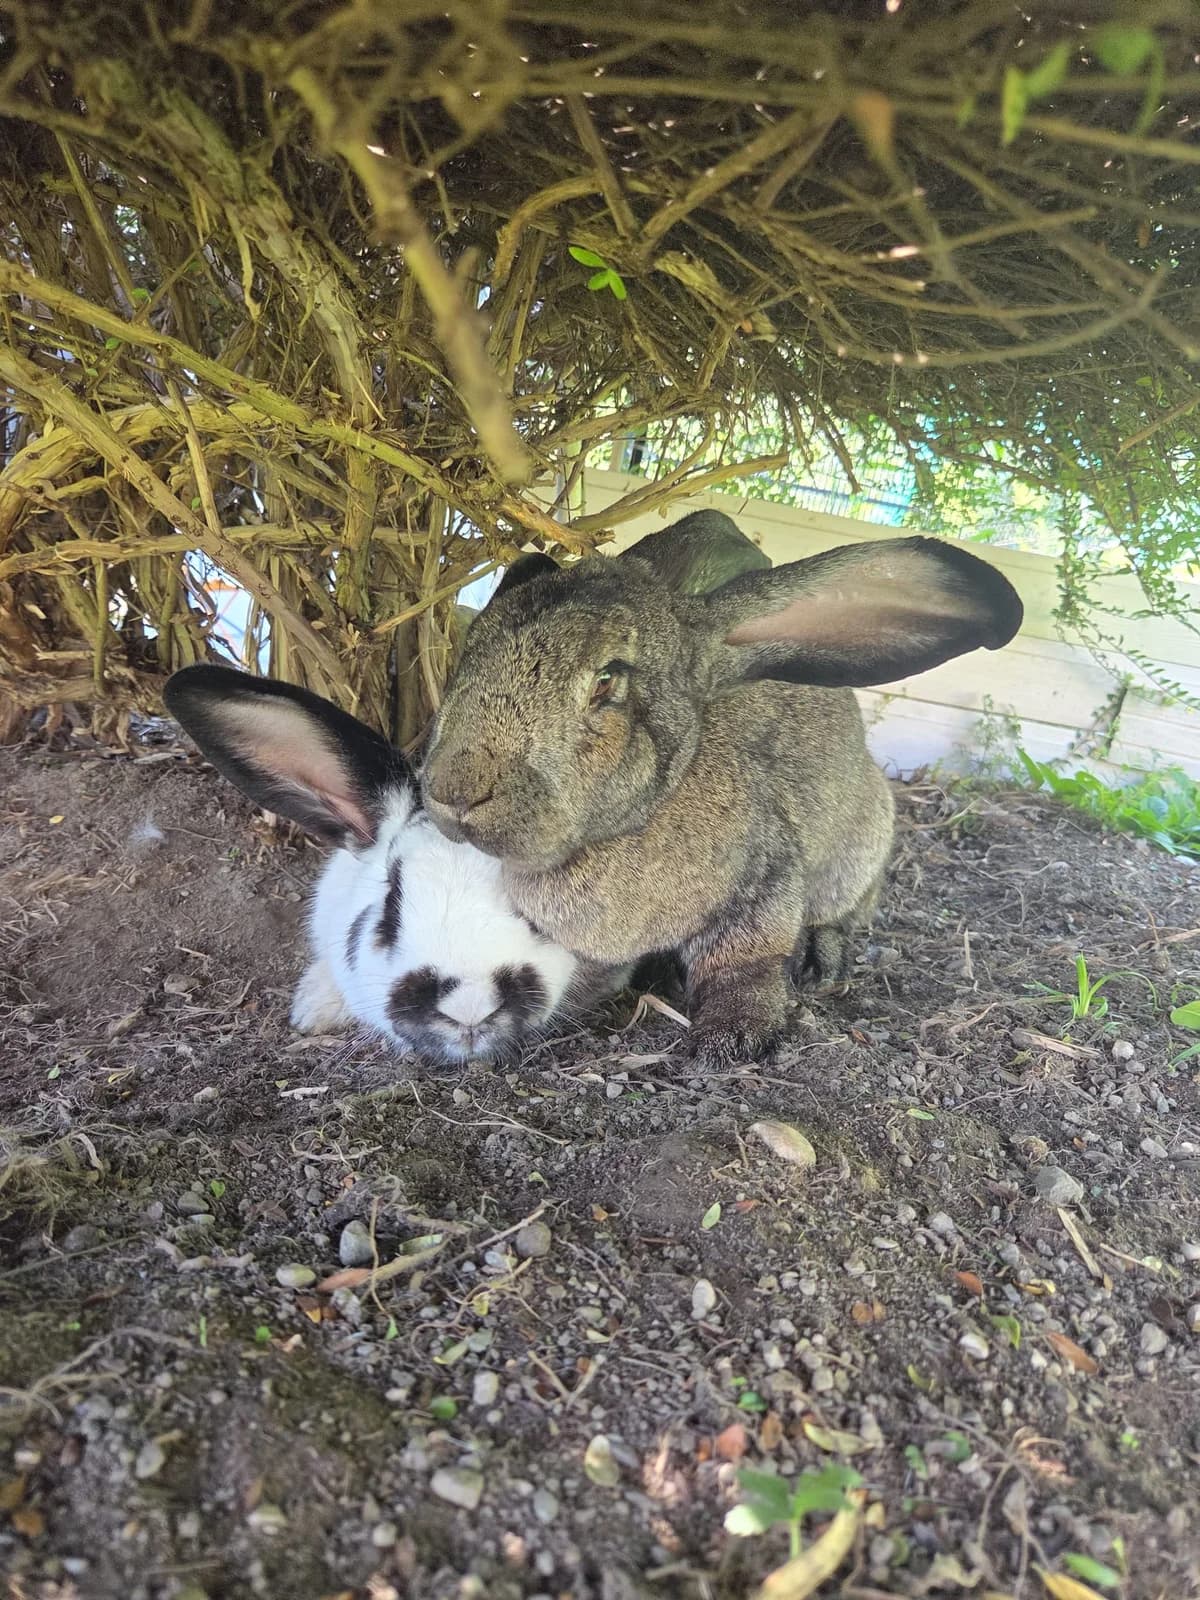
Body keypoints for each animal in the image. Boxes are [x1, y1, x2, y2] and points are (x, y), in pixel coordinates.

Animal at [420, 512, 1024, 1071]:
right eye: (469, 655)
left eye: (606, 682)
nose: (452, 787)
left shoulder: (764, 879)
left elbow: (746, 961)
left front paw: (732, 1038)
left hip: (860, 849)